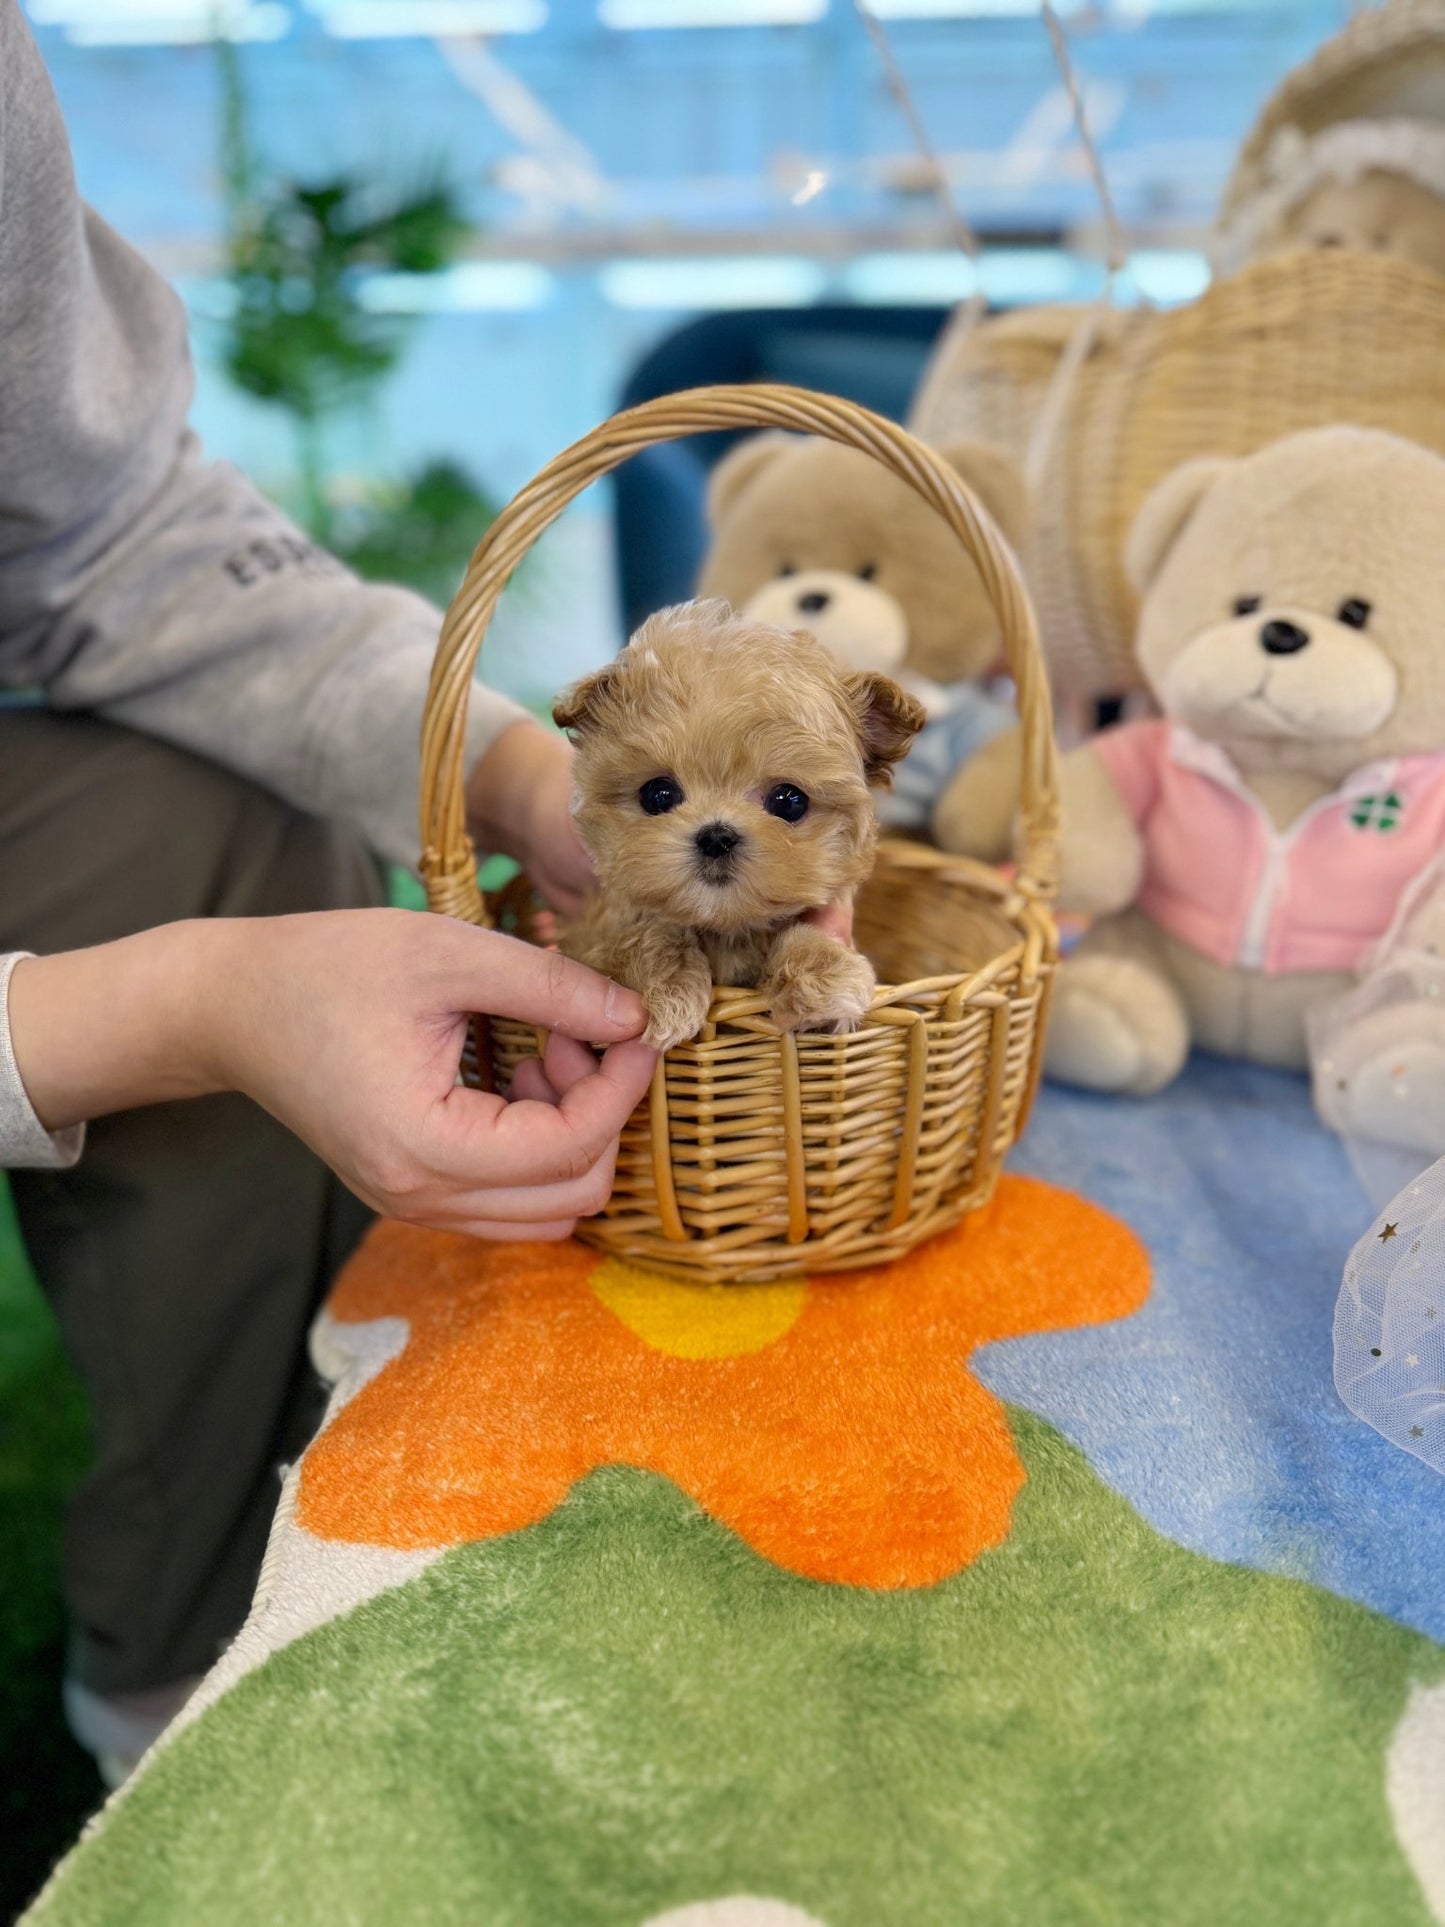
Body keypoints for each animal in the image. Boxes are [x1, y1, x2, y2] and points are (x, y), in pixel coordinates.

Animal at [554, 601, 928, 1055]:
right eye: (658, 795)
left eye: (789, 801)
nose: (716, 836)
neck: (728, 930)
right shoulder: (589, 941)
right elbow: (639, 939)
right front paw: (670, 987)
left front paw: (823, 976)